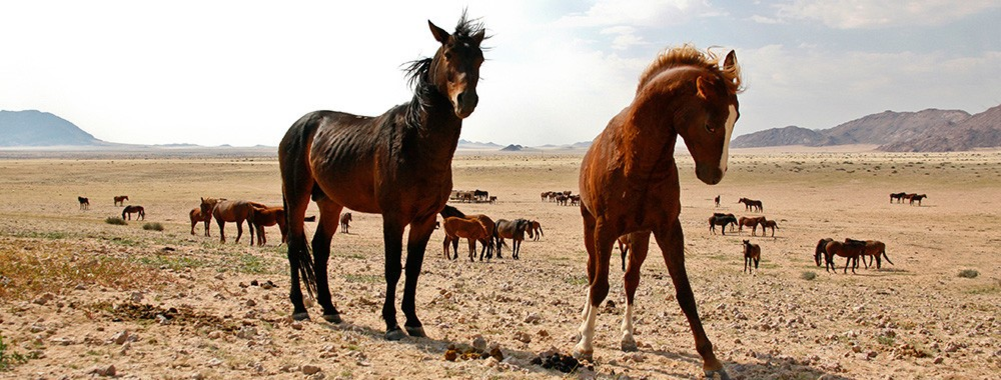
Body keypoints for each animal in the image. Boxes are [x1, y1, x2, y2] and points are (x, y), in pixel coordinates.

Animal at [280, 14, 486, 342]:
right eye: (449, 53)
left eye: (479, 58)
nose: (465, 100)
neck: (417, 143)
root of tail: (299, 125)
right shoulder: (393, 216)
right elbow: (393, 267)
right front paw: (391, 323)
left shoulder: (425, 219)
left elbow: (413, 269)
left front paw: (413, 320)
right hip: (296, 195)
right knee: (294, 245)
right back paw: (300, 307)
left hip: (330, 203)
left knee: (319, 248)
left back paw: (330, 308)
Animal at [572, 43, 744, 378]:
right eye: (710, 124)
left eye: (736, 119)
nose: (715, 174)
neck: (639, 158)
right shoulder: (605, 228)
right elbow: (599, 285)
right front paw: (585, 345)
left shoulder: (667, 229)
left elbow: (684, 292)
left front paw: (710, 357)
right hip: (589, 226)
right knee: (592, 271)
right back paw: (584, 324)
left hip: (639, 237)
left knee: (631, 280)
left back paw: (628, 336)